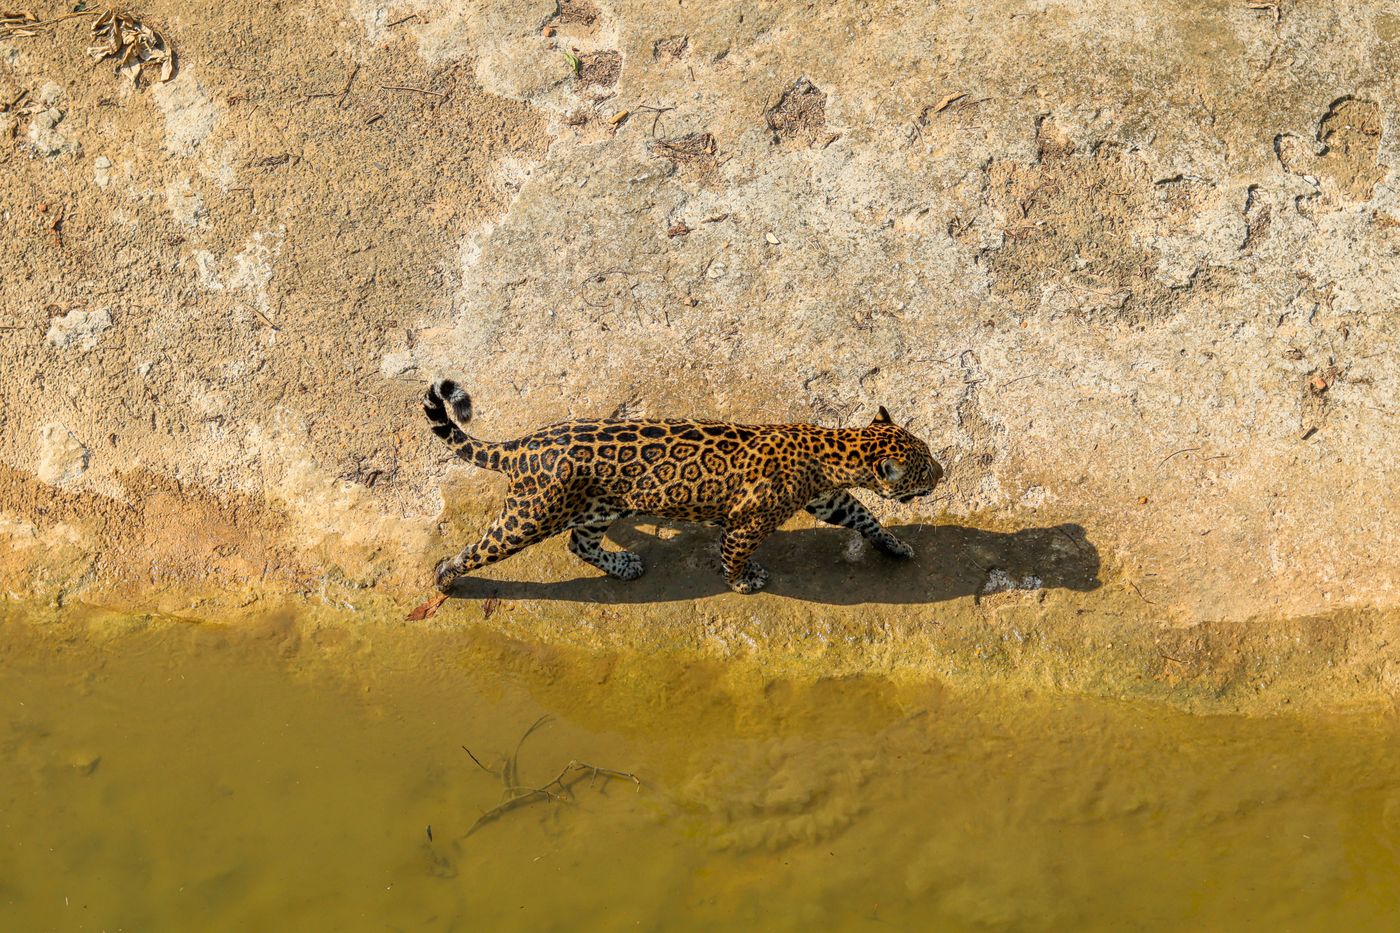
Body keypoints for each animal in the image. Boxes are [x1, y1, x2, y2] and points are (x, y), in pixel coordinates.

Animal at [423, 379, 944, 595]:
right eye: (924, 468)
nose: (943, 473)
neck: (834, 448)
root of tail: (523, 443)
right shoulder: (747, 522)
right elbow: (733, 555)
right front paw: (742, 582)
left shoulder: (828, 498)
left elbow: (865, 517)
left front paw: (895, 546)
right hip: (530, 515)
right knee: (478, 549)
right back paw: (446, 580)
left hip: (600, 508)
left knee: (580, 543)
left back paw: (623, 565)